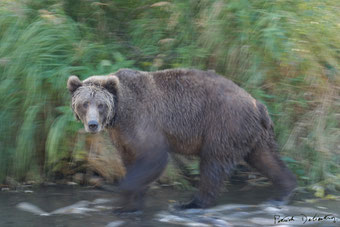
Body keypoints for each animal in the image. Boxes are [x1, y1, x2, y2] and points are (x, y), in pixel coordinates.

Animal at [67, 68, 296, 212]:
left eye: (101, 104)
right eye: (85, 103)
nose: (93, 124)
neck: (121, 114)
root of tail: (257, 103)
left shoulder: (144, 122)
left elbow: (154, 158)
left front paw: (123, 199)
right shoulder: (122, 136)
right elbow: (131, 161)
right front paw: (132, 204)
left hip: (224, 124)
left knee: (213, 165)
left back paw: (191, 204)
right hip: (254, 136)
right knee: (266, 159)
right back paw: (284, 190)